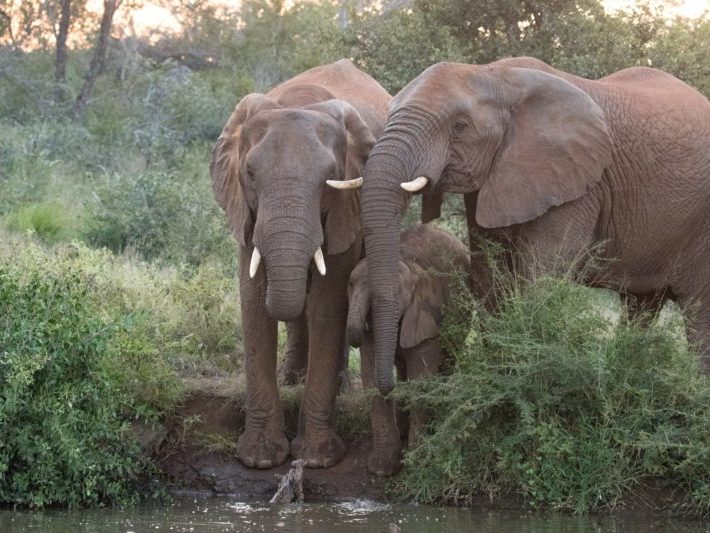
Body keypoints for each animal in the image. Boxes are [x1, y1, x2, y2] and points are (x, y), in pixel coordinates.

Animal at [210, 59, 391, 468]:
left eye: (331, 178)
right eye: (250, 174)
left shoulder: (346, 208)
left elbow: (327, 304)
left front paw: (315, 460)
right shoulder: (246, 212)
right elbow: (252, 302)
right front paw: (260, 459)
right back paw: (291, 379)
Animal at [346, 224, 470, 475]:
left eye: (397, 293)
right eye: (351, 285)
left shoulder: (425, 313)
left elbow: (420, 378)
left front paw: (418, 462)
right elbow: (370, 376)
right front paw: (382, 468)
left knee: (447, 362)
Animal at [360, 56, 710, 395]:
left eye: (459, 126)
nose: (388, 389)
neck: (494, 74)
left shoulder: (576, 185)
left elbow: (539, 275)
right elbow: (489, 279)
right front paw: (499, 378)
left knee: (698, 312)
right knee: (642, 304)